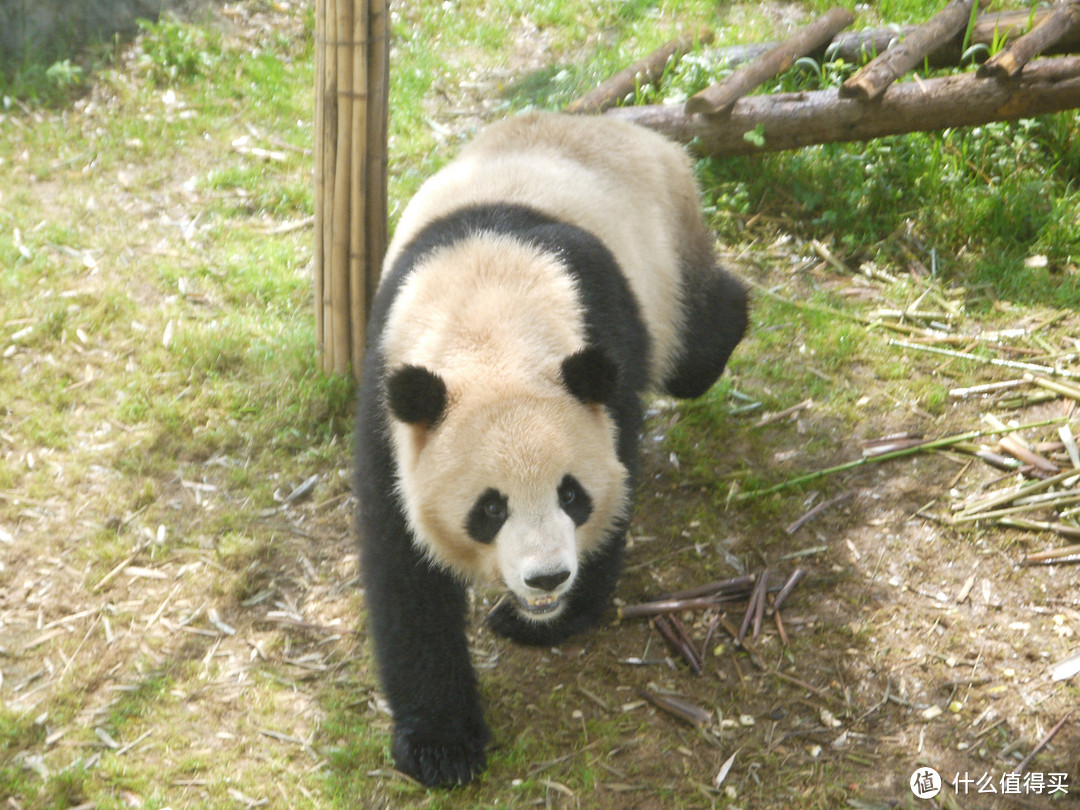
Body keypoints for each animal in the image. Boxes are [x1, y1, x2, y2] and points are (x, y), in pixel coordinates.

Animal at [358, 111, 747, 790]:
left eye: (572, 495)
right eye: (490, 509)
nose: (547, 578)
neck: (491, 322)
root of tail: (617, 126)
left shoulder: (605, 355)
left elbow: (622, 476)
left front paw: (552, 619)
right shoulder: (394, 400)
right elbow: (404, 568)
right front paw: (441, 746)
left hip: (666, 251)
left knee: (694, 343)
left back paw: (735, 308)